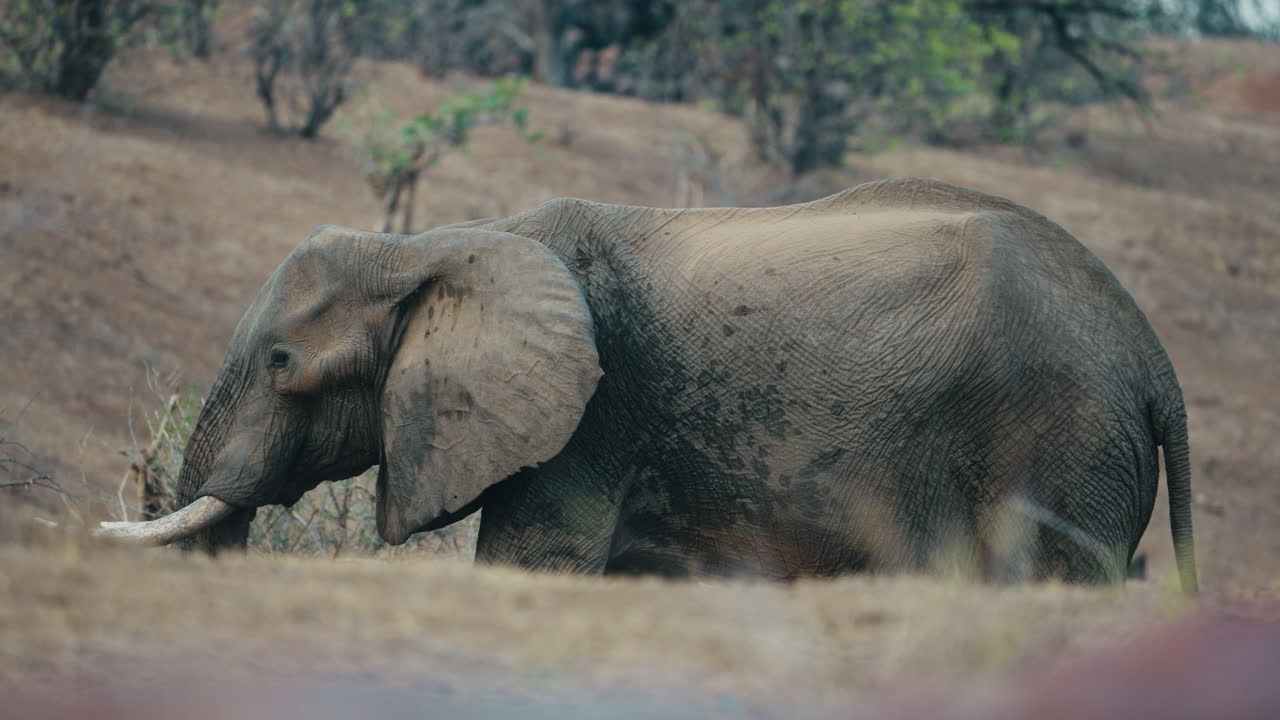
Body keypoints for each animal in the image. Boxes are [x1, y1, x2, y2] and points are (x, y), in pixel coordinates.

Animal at [99, 177, 1197, 592]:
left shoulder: (592, 419)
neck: (435, 245)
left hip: (1058, 443)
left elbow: (532, 563)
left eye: (282, 365)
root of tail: (1153, 362)